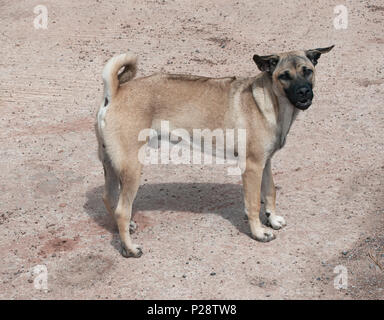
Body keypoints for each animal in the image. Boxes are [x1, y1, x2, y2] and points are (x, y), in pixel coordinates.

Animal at [97, 45, 336, 258]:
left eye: (307, 71)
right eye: (284, 76)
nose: (304, 92)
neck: (270, 100)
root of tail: (116, 92)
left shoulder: (265, 163)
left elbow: (270, 192)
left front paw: (272, 219)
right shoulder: (252, 167)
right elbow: (252, 204)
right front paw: (259, 232)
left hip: (111, 165)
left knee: (109, 198)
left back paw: (126, 228)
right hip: (131, 169)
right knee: (121, 210)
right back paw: (130, 248)